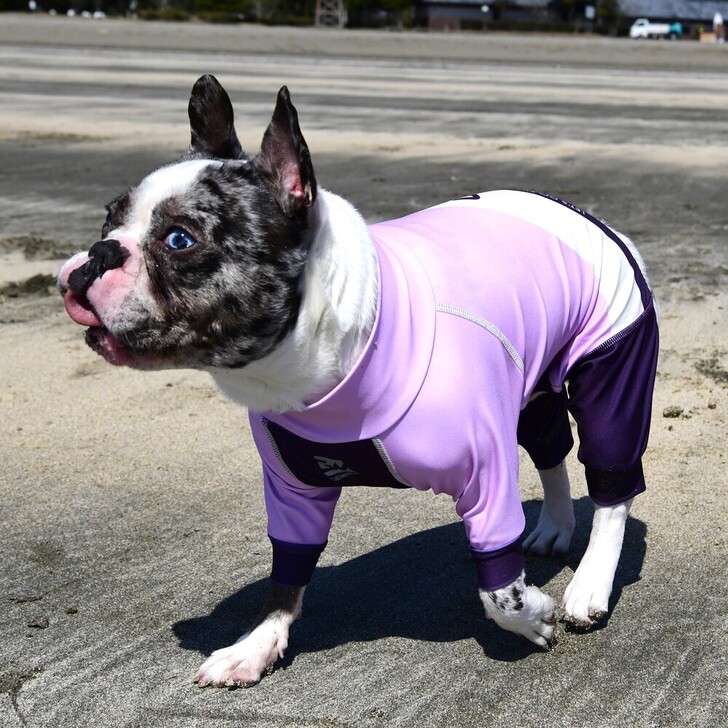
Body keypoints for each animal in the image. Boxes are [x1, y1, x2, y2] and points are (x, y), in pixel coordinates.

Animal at [58, 75, 659, 687]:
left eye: (180, 240)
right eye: (108, 219)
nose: (97, 254)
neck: (354, 349)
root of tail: (584, 215)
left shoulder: (486, 473)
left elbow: (499, 591)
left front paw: (534, 613)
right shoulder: (293, 488)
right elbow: (286, 574)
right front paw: (255, 644)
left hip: (612, 357)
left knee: (612, 481)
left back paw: (589, 584)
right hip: (533, 382)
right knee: (550, 449)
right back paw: (555, 527)